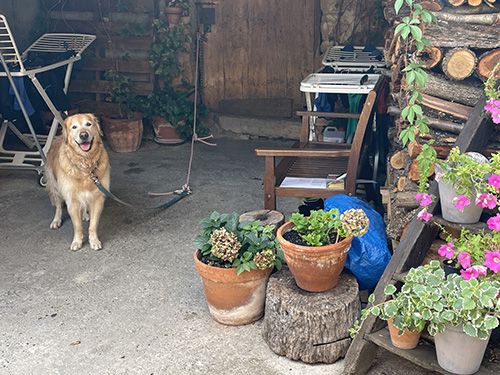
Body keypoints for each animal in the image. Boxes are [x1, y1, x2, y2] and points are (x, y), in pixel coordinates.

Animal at [45, 113, 110, 251]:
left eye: (88, 124)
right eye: (74, 127)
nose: (83, 135)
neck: (85, 166)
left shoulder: (97, 198)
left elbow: (93, 225)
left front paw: (94, 240)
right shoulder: (72, 199)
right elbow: (77, 226)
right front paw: (77, 241)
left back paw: (85, 214)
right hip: (54, 185)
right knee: (58, 205)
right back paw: (56, 220)